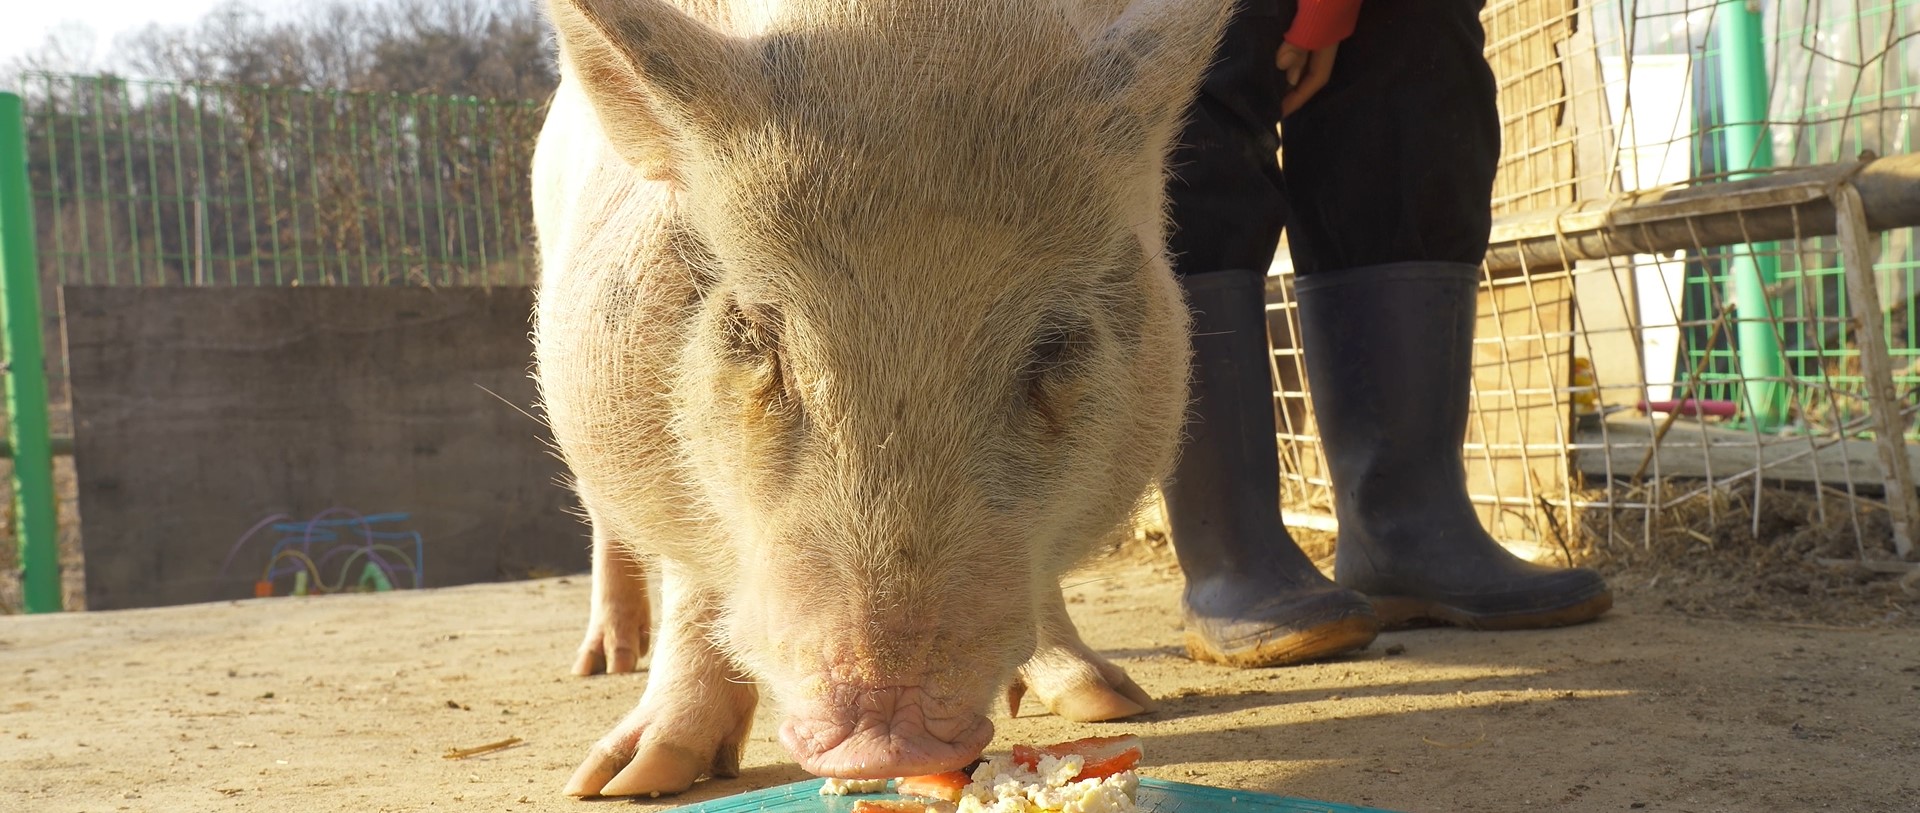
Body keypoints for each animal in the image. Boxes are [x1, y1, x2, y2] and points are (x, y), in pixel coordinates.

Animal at [533, 0, 1236, 803]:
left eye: (1055, 347)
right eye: (754, 331)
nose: (886, 738)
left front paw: (1116, 705)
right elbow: (695, 579)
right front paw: (625, 781)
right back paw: (606, 669)